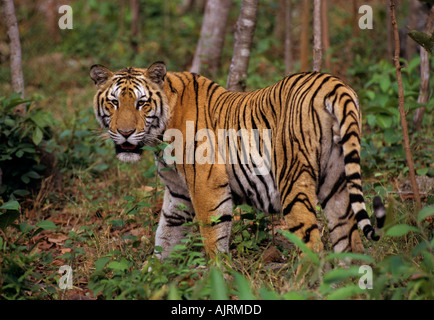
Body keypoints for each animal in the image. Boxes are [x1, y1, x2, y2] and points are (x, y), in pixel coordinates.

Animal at [89, 60, 386, 260]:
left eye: (142, 103)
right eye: (114, 103)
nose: (125, 132)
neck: (160, 134)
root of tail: (333, 84)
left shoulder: (207, 185)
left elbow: (213, 236)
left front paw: (219, 278)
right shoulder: (177, 192)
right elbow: (166, 235)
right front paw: (154, 277)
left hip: (293, 180)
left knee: (313, 245)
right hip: (337, 182)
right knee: (350, 242)